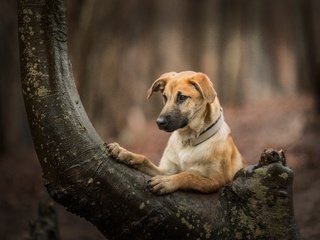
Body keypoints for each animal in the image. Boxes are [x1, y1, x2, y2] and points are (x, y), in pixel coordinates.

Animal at [107, 71, 245, 195]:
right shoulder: (165, 170)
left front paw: (166, 182)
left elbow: (188, 175)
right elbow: (145, 159)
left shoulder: (216, 181)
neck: (188, 141)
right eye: (164, 97)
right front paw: (124, 153)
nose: (159, 122)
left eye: (182, 97)